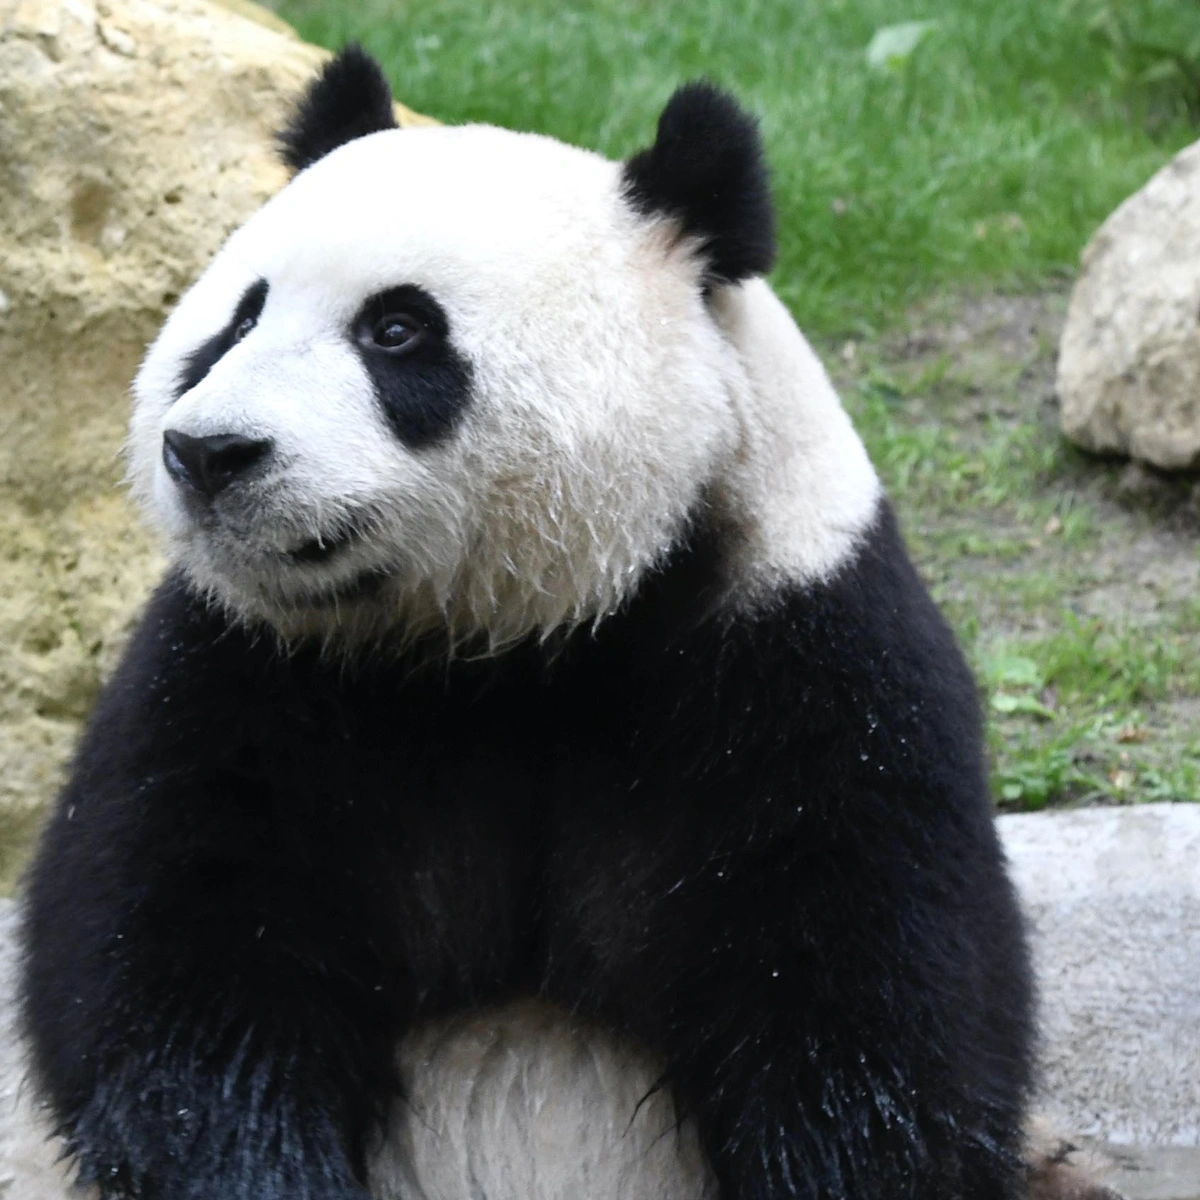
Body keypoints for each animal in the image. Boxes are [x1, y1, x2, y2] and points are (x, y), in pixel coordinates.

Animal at [19, 44, 1035, 1200]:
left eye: (397, 330)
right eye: (236, 321)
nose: (208, 454)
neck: (504, 642)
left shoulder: (798, 648)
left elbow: (872, 995)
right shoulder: (246, 668)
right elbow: (176, 955)